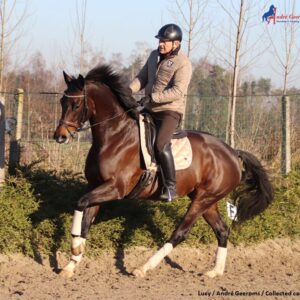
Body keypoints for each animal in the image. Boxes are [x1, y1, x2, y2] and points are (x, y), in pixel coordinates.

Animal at [52, 63, 274, 278]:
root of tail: (233, 153)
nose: (60, 136)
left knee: (180, 233)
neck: (114, 136)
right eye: (62, 101)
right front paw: (72, 263)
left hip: (203, 199)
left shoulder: (115, 188)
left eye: (76, 105)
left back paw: (143, 268)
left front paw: (75, 248)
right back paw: (215, 272)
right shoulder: (96, 186)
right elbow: (85, 220)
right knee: (222, 231)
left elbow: (80, 203)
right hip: (208, 200)